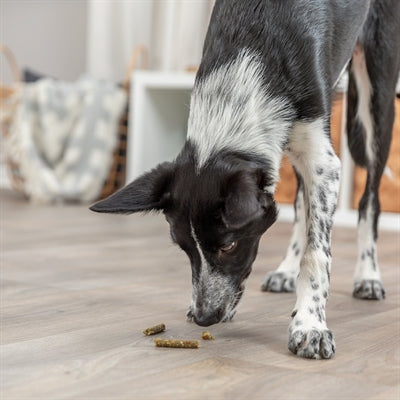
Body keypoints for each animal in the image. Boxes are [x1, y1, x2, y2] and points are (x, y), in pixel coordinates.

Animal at [90, 0, 400, 360]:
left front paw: (310, 325)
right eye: (183, 248)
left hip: (376, 99)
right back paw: (286, 269)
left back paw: (368, 275)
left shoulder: (324, 161)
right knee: (301, 202)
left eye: (229, 245)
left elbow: (317, 254)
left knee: (370, 200)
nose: (204, 318)